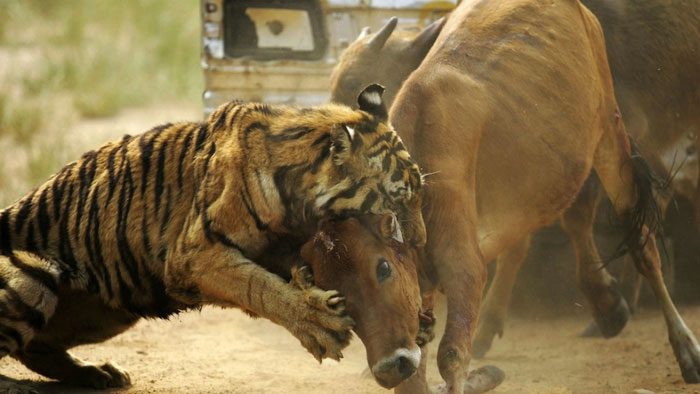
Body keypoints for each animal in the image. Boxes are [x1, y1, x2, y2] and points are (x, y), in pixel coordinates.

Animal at [0, 83, 424, 388]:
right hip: (34, 275)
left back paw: (98, 374)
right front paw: (317, 323)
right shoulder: (193, 256)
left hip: (109, 312)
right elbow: (258, 288)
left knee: (36, 348)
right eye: (399, 197)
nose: (419, 242)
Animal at [332, 0, 700, 390]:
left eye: (381, 268)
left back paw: (684, 348)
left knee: (640, 239)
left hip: (610, 130)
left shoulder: (464, 267)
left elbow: (452, 356)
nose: (387, 366)